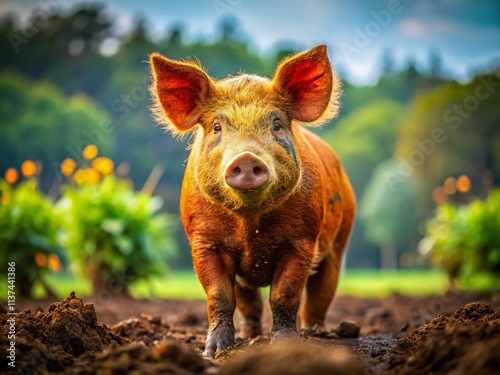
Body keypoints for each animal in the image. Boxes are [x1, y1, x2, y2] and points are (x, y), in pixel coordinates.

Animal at [148, 45, 356, 356]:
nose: (246, 158)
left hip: (339, 241)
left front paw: (286, 345)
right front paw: (213, 352)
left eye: (277, 124)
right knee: (249, 303)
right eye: (217, 126)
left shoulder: (302, 240)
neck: (249, 225)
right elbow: (219, 296)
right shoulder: (203, 242)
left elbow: (285, 294)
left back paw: (315, 333)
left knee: (320, 295)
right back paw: (250, 336)